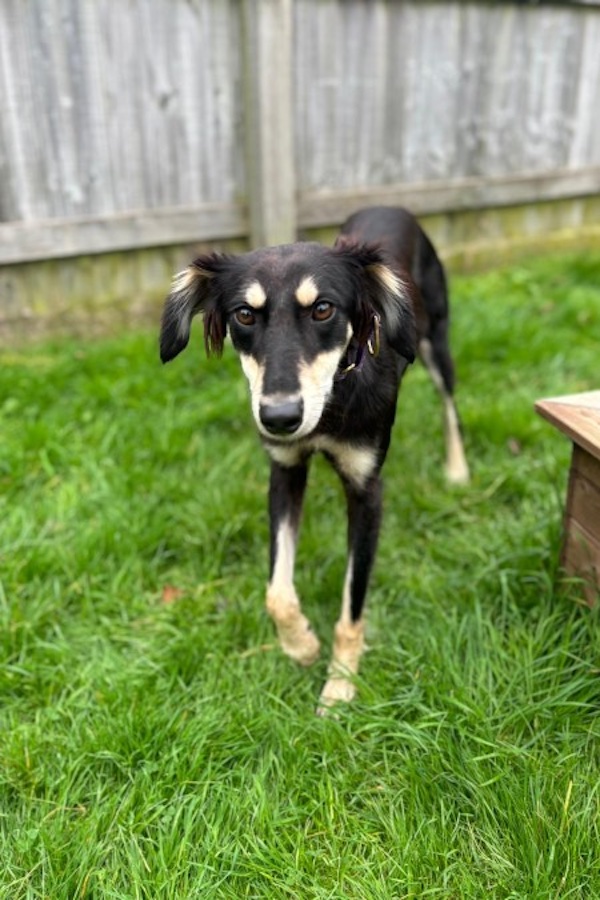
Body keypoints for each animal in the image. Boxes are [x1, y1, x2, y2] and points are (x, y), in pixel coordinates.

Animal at [159, 204, 468, 712]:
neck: (333, 402)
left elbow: (352, 605)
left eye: (323, 309)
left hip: (434, 340)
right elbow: (276, 593)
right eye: (245, 314)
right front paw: (301, 644)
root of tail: (390, 207)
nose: (280, 417)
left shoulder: (366, 491)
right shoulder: (285, 470)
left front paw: (340, 685)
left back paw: (458, 469)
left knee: (450, 407)